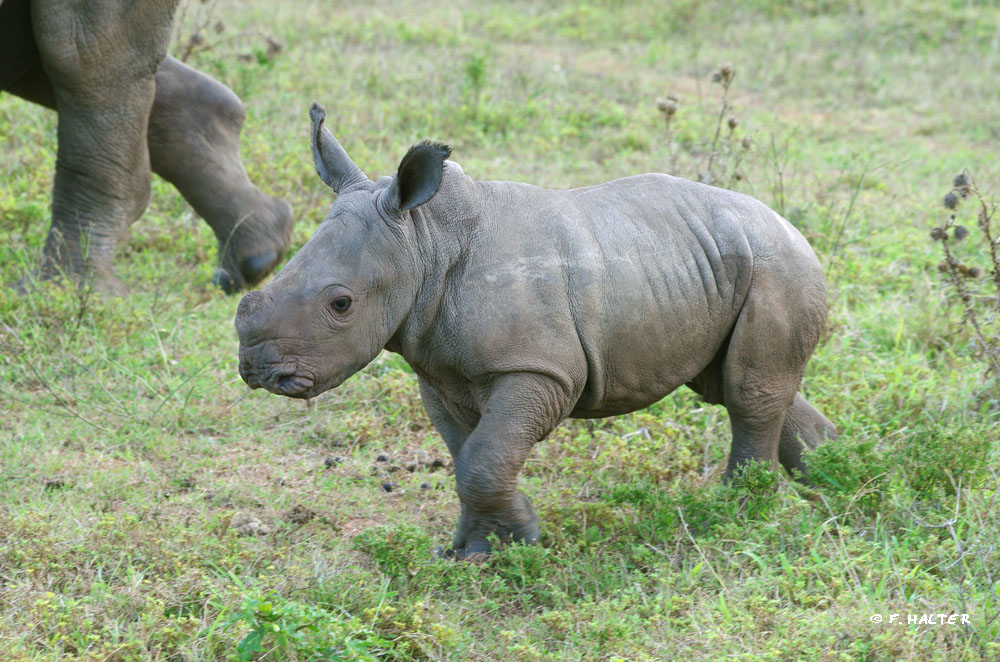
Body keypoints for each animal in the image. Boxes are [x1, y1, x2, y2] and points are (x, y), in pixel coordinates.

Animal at [236, 104, 836, 560]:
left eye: (341, 304)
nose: (257, 368)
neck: (425, 241)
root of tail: (792, 227)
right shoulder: (439, 371)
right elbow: (468, 453)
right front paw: (470, 552)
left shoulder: (540, 370)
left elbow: (483, 457)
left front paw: (517, 543)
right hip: (715, 265)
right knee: (734, 384)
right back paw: (830, 474)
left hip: (776, 264)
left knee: (746, 389)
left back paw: (736, 510)